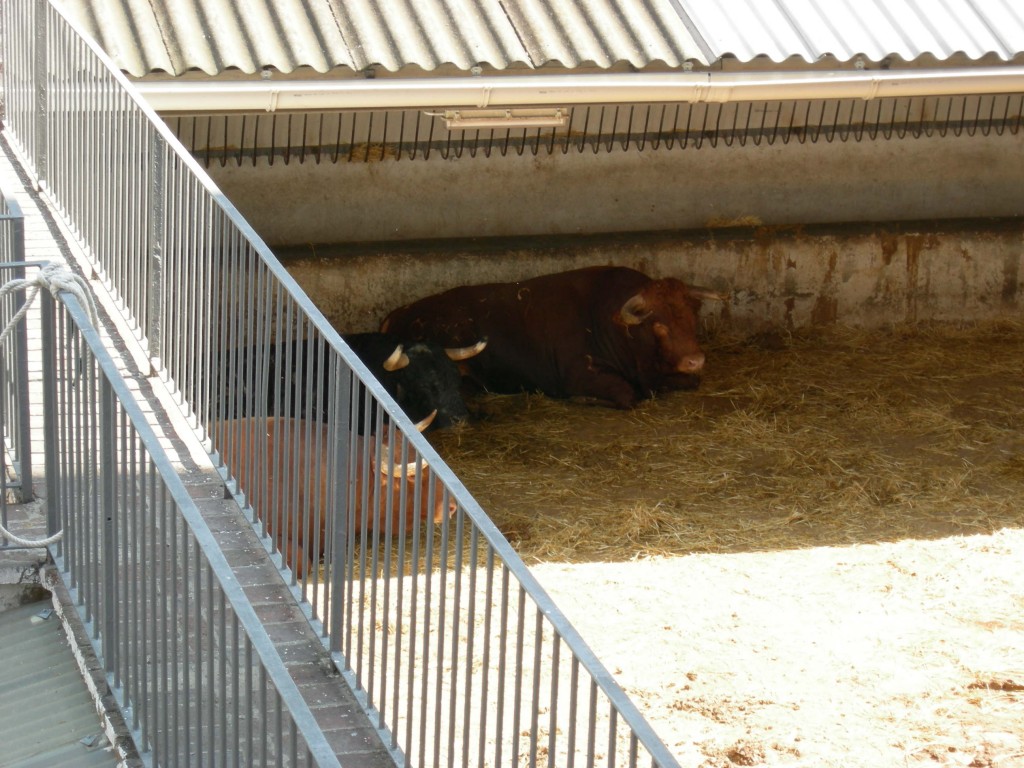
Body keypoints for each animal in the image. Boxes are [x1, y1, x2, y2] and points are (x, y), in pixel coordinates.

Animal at [380, 264, 724, 409]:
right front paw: (584, 399)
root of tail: (397, 314)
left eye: (692, 316)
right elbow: (628, 396)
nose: (695, 359)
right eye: (659, 325)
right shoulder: (579, 374)